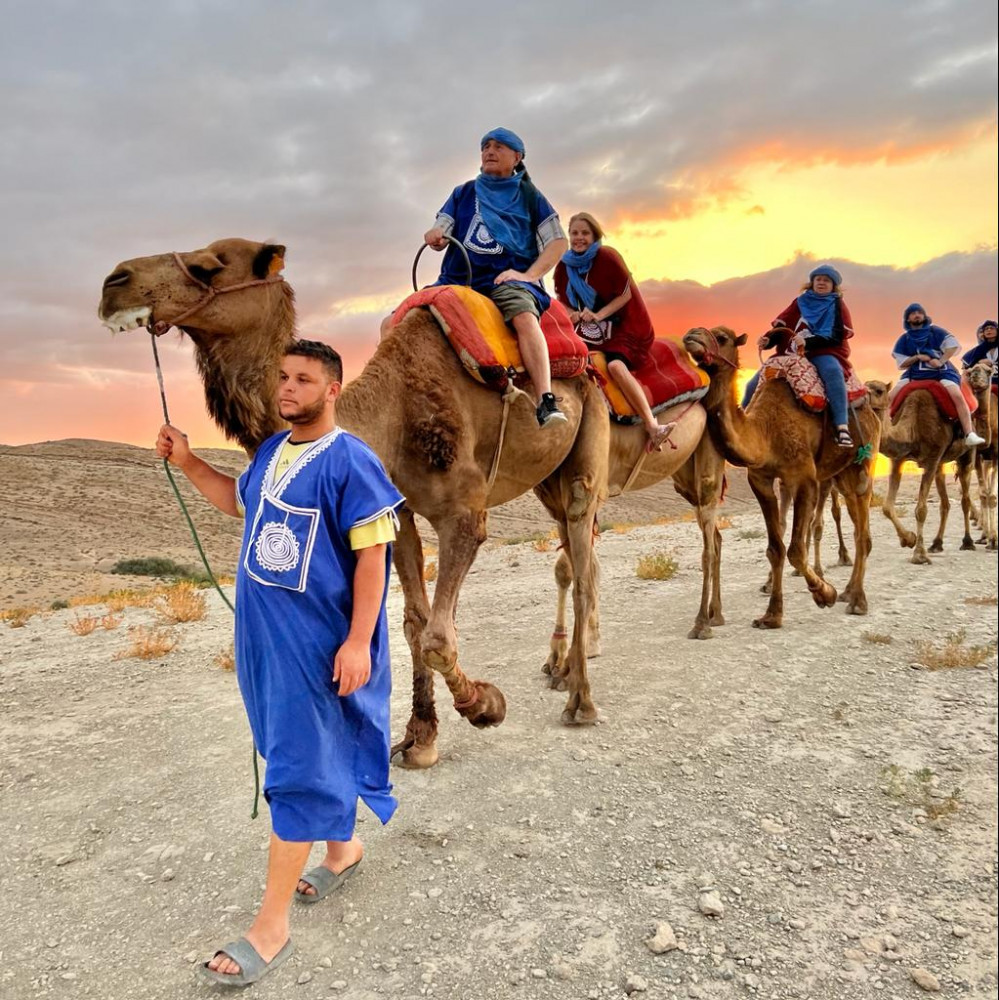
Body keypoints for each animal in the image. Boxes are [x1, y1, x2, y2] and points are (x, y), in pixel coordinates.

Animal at [103, 238, 616, 768]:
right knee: (574, 553)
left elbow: (437, 638)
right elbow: (415, 624)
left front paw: (484, 705)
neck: (391, 415)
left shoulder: (464, 514)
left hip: (588, 440)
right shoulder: (398, 511)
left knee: (581, 557)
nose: (114, 284)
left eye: (211, 266)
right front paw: (420, 738)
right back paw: (558, 672)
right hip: (546, 481)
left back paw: (581, 700)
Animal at [684, 326, 880, 624]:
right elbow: (774, 549)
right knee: (859, 526)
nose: (691, 335)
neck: (766, 432)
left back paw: (857, 600)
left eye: (722, 338)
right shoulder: (760, 480)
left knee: (863, 533)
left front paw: (824, 594)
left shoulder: (805, 478)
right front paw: (772, 615)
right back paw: (849, 592)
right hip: (842, 475)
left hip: (863, 465)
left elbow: (796, 550)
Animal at [884, 376, 976, 564]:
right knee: (945, 503)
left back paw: (968, 542)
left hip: (966, 456)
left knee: (965, 499)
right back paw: (936, 544)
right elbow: (887, 507)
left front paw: (919, 555)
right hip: (941, 464)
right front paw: (908, 539)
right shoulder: (898, 459)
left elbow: (921, 510)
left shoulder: (932, 459)